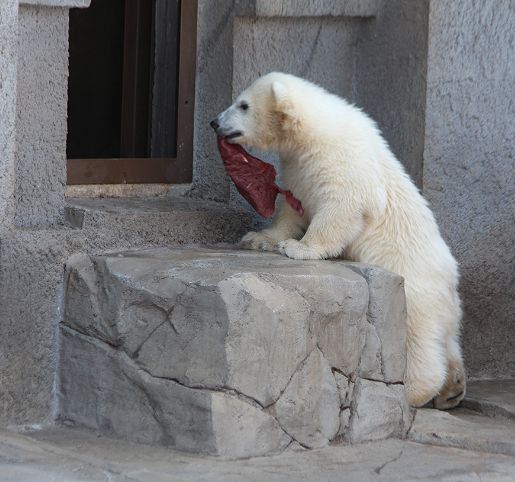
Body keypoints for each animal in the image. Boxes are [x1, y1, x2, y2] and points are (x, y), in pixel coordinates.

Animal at [212, 73, 466, 408]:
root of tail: (451, 286)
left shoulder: (340, 160)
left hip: (415, 293)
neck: (314, 132)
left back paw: (414, 391)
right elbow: (292, 207)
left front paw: (299, 248)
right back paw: (454, 388)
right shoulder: (297, 166)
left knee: (417, 340)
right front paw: (259, 238)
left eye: (243, 105)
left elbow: (342, 206)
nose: (214, 122)